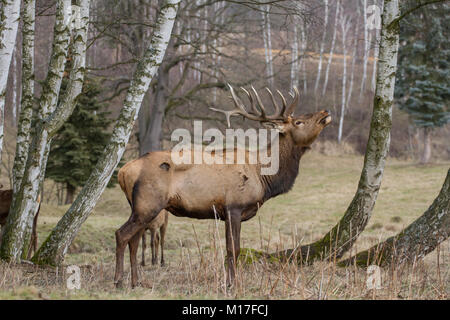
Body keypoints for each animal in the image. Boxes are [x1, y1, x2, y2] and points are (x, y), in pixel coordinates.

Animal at [113, 84, 330, 288]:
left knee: (134, 239)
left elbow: (233, 249)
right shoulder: (233, 207)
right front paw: (231, 284)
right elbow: (233, 249)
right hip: (148, 203)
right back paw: (118, 281)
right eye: (299, 121)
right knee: (121, 234)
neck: (263, 177)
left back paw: (135, 282)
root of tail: (123, 171)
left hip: (139, 207)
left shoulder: (230, 213)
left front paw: (230, 281)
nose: (325, 112)